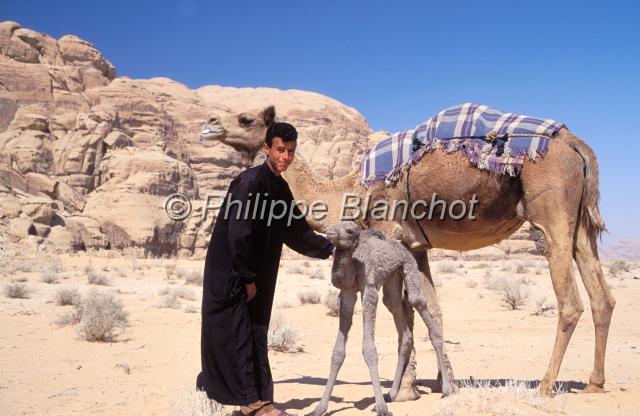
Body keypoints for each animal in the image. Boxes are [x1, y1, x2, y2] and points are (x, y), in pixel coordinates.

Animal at [200, 105, 616, 396]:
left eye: (246, 118)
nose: (208, 124)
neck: (349, 190)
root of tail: (575, 144)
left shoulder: (390, 234)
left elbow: (400, 308)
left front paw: (405, 390)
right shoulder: (417, 247)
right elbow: (428, 308)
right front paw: (442, 380)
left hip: (551, 214)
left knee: (570, 301)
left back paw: (545, 385)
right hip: (580, 225)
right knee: (602, 297)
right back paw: (595, 382)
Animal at [308, 224, 456, 416]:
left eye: (349, 230)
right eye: (335, 226)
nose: (330, 232)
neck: (354, 262)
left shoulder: (369, 289)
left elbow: (369, 349)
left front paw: (381, 407)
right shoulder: (347, 292)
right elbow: (338, 352)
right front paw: (319, 408)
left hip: (409, 266)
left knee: (419, 305)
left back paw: (446, 388)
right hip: (392, 279)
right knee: (402, 325)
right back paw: (392, 393)